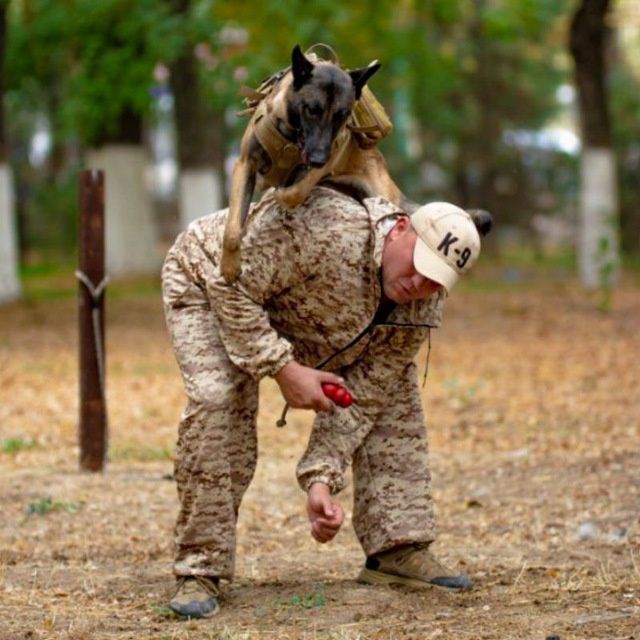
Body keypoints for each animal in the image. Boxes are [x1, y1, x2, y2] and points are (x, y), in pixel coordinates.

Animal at [222, 44, 492, 282]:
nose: (318, 157)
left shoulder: (321, 165)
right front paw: (230, 266)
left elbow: (294, 193)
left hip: (382, 196)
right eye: (312, 110)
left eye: (342, 116)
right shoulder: (245, 164)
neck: (290, 137)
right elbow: (233, 230)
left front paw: (280, 195)